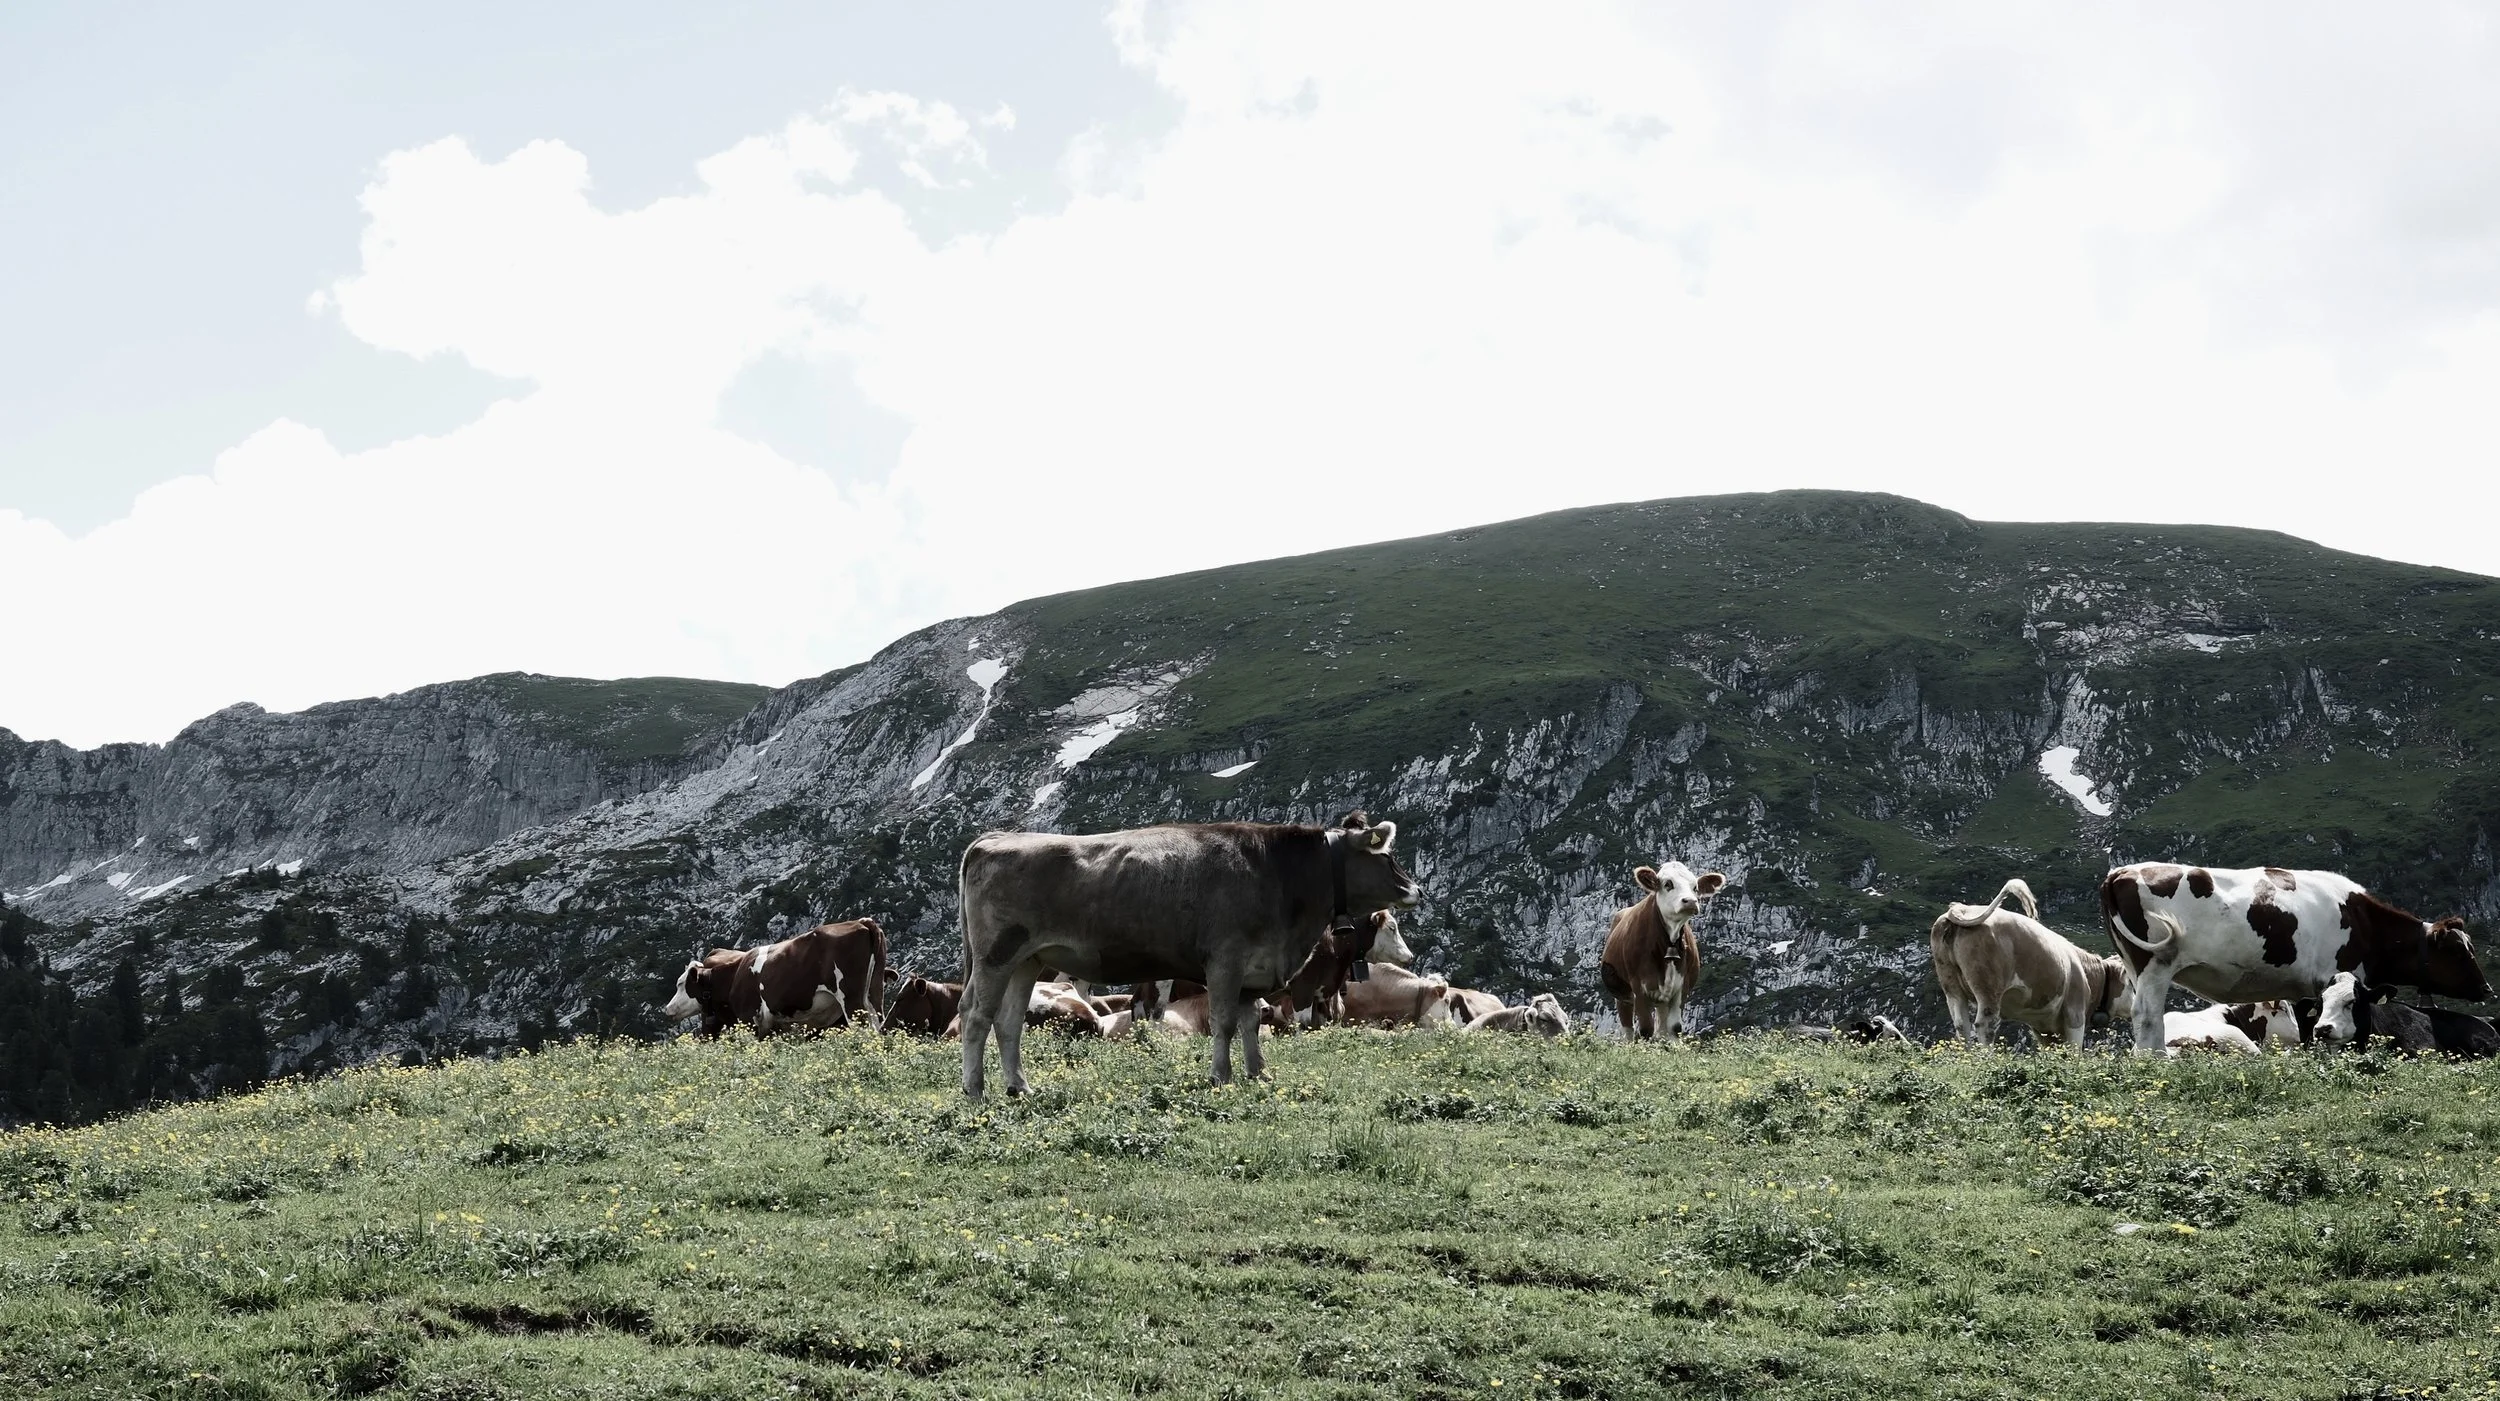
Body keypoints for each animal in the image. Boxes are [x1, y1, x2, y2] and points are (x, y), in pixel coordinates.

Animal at [956, 811, 1421, 1095]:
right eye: (1388, 855)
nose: (1416, 890)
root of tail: (994, 839)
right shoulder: (1226, 961)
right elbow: (1225, 1023)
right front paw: (1220, 1077)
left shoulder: (1254, 969)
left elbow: (1251, 1023)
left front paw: (1258, 1073)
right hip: (996, 956)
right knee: (977, 1016)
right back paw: (975, 1091)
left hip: (1026, 961)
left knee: (1008, 1022)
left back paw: (1019, 1087)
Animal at [1599, 861, 1724, 1040]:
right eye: (1668, 884)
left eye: (1695, 887)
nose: (1690, 901)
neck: (1669, 943)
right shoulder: (1638, 987)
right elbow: (1645, 1029)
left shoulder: (1682, 986)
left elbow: (1675, 1028)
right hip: (1622, 995)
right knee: (1628, 1030)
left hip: (1662, 999)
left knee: (1662, 1029)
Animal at [1930, 878, 2133, 1048]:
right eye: (2131, 981)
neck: (2087, 973)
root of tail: (1962, 909)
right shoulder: (2074, 1012)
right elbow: (2075, 1050)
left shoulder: (2043, 1028)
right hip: (1988, 986)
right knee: (1984, 1024)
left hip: (1951, 987)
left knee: (1961, 1026)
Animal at [2101, 863, 2489, 1053]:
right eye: (2458, 951)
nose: (2487, 989)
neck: (2364, 921)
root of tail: (2121, 872)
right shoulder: (2336, 973)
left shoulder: (2302, 987)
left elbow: (2306, 1024)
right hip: (2155, 963)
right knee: (2147, 1015)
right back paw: (2154, 1059)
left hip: (2135, 964)